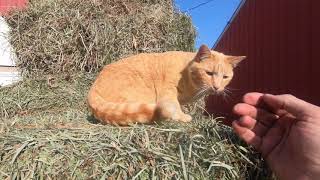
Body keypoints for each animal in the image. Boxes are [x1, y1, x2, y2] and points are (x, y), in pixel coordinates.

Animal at [87, 44, 245, 125]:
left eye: (225, 77)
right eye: (209, 73)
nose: (217, 87)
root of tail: (92, 91)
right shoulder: (168, 90)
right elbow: (173, 106)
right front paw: (182, 117)